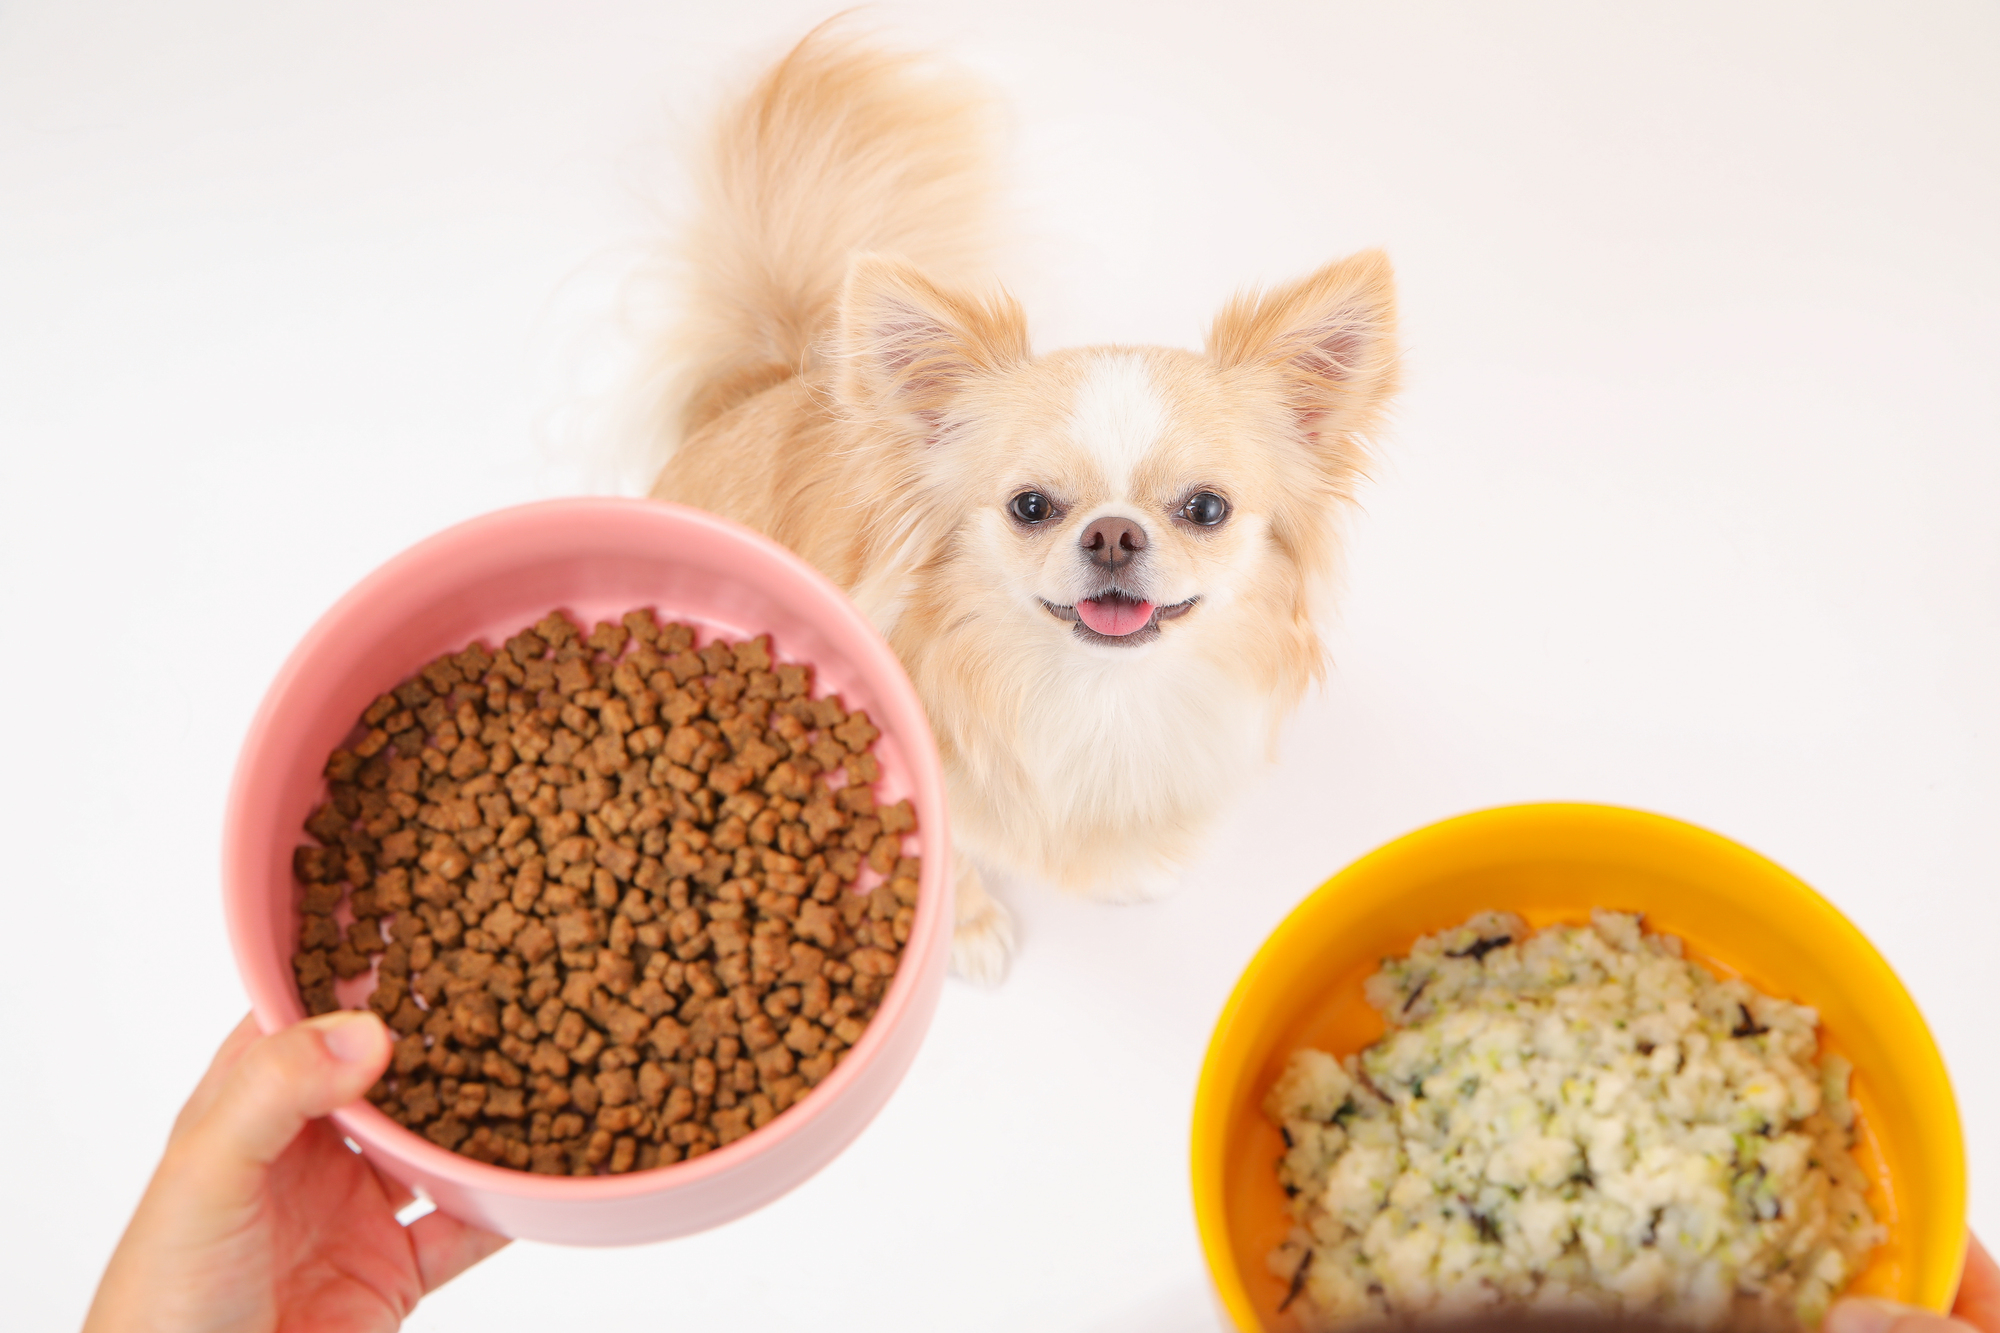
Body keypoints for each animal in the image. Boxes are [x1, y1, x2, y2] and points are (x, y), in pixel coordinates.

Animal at [648, 26, 1400, 980]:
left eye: (1206, 509)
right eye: (1031, 506)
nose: (1113, 533)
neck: (1095, 696)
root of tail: (766, 378)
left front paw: (1127, 870)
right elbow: (955, 854)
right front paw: (963, 930)